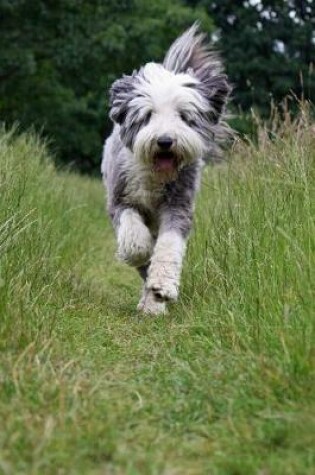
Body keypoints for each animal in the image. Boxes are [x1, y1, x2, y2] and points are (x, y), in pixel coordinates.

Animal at [102, 23, 232, 316]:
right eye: (148, 115)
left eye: (184, 116)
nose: (164, 141)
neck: (154, 174)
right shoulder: (120, 198)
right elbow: (134, 237)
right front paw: (138, 252)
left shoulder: (179, 204)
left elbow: (168, 246)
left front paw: (162, 288)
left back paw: (153, 304)